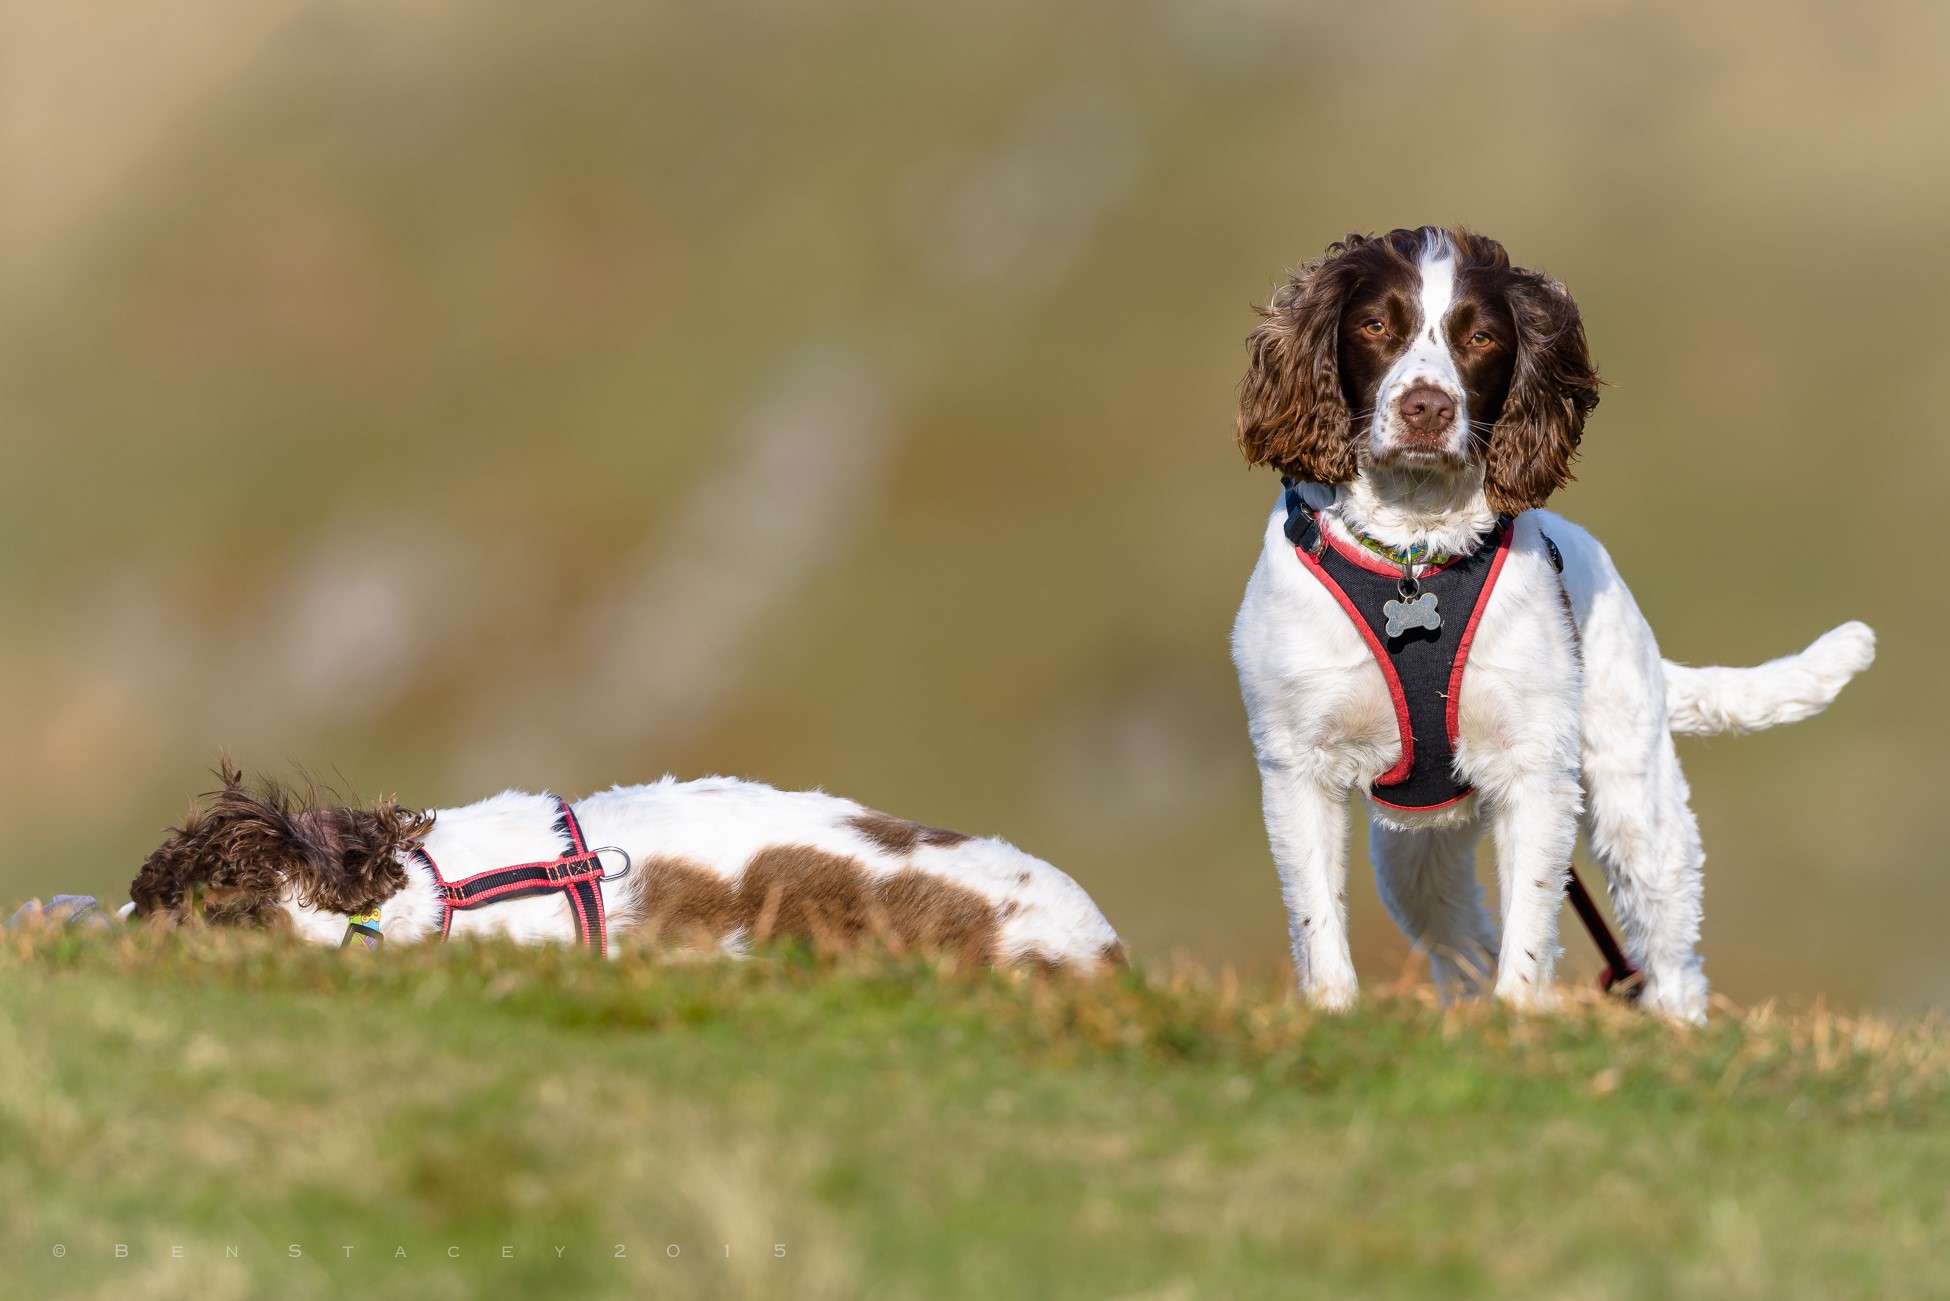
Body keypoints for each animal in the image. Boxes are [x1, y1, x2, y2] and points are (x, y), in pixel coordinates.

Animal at [1232, 229, 1872, 1022]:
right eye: (1376, 325)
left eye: (1481, 337)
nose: (1425, 408)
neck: (1415, 553)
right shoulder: (1297, 762)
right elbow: (1317, 912)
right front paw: (1333, 1012)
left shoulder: (1534, 764)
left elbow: (1532, 919)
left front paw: (1521, 1018)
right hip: (1416, 846)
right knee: (1462, 937)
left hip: (1636, 803)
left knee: (1670, 948)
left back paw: (1674, 1025)